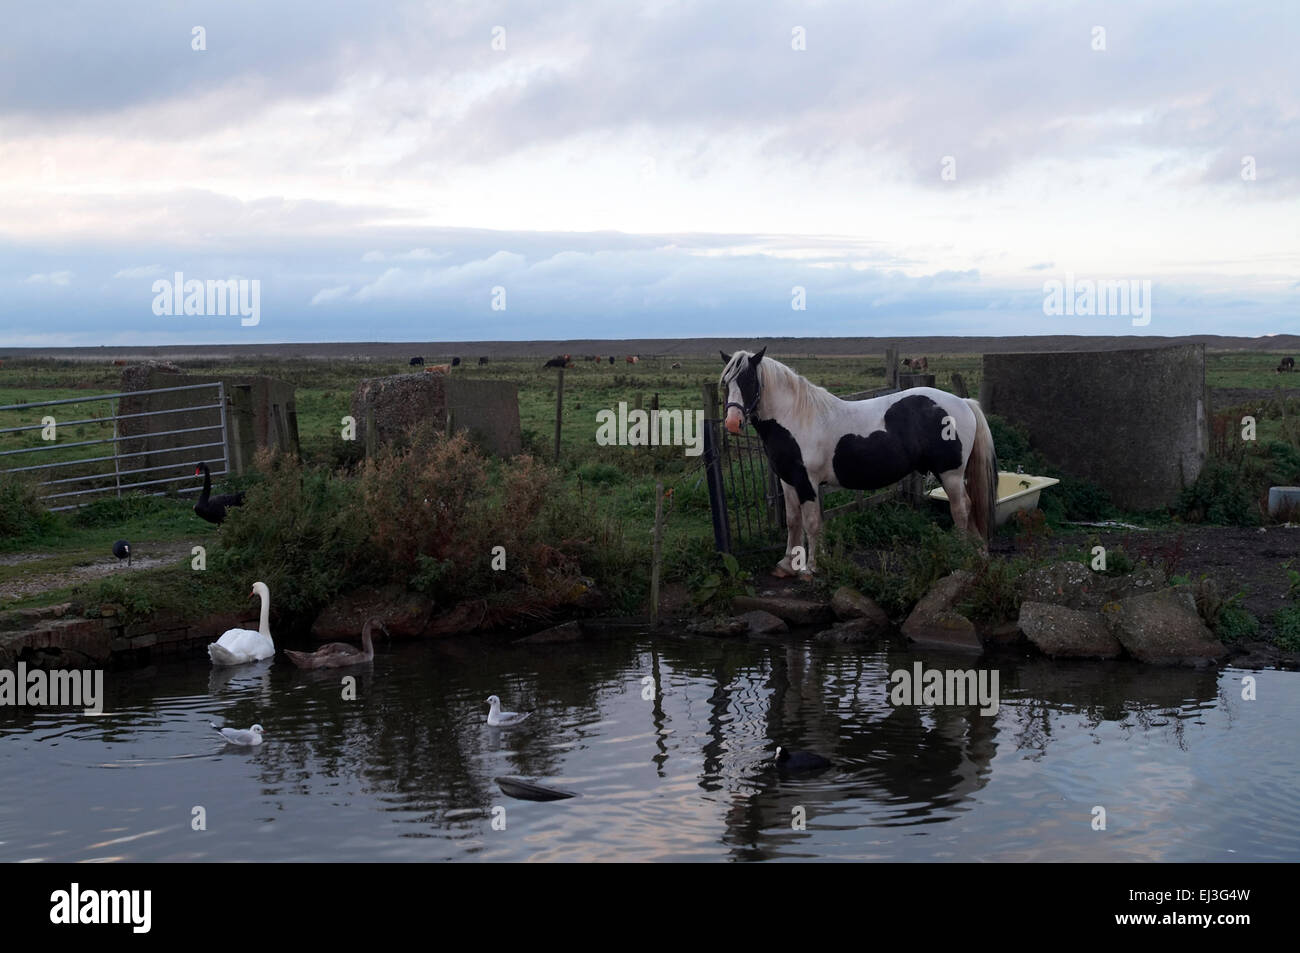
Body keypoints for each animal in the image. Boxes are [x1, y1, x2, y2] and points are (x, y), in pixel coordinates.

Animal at [722, 348, 993, 577]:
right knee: (968, 507)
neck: (796, 418)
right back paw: (978, 552)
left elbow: (811, 523)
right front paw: (788, 564)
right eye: (726, 384)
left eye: (749, 381)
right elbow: (793, 521)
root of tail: (963, 403)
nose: (732, 423)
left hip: (950, 474)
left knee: (961, 508)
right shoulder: (788, 481)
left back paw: (959, 556)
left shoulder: (808, 483)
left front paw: (811, 568)